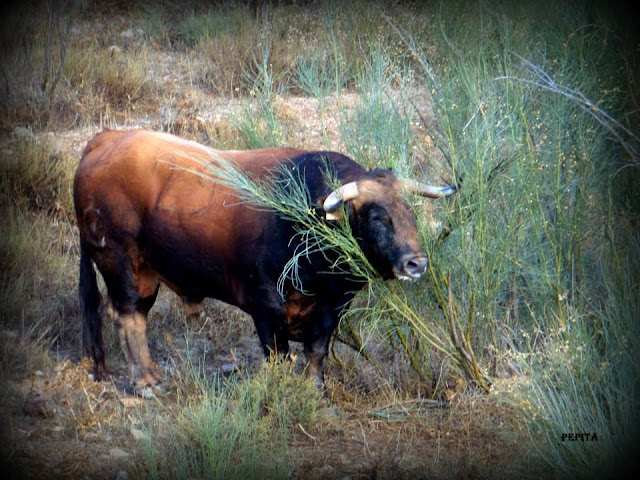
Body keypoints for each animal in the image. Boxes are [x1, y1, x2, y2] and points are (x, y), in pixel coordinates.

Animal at [74, 128, 456, 390]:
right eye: (377, 217)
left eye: (410, 213)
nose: (417, 263)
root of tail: (107, 139)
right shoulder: (266, 310)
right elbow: (278, 357)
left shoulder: (330, 312)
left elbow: (316, 353)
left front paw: (315, 391)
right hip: (121, 262)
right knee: (128, 316)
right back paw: (146, 382)